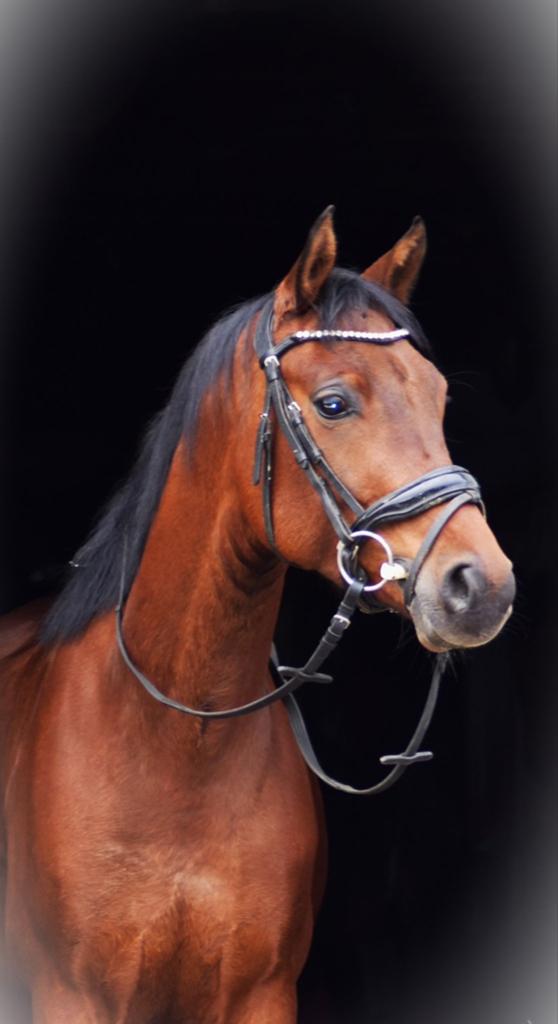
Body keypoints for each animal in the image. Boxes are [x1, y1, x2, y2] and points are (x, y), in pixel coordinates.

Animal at [0, 208, 515, 1022]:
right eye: (334, 403)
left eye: (438, 397)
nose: (482, 585)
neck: (180, 744)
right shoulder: (71, 997)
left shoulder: (263, 994)